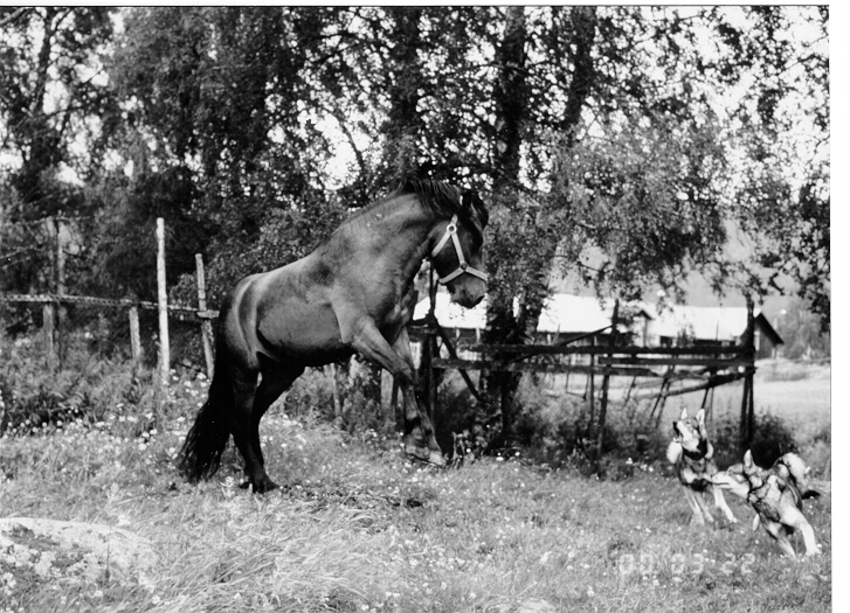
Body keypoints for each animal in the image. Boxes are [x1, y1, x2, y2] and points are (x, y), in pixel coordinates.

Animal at [177, 178, 489, 493]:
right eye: (474, 239)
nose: (476, 294)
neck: (373, 260)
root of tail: (233, 299)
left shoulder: (395, 332)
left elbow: (414, 379)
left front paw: (431, 448)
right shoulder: (362, 335)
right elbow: (404, 373)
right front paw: (416, 443)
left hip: (281, 373)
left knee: (252, 418)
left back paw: (257, 478)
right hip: (244, 372)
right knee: (239, 422)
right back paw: (263, 482)